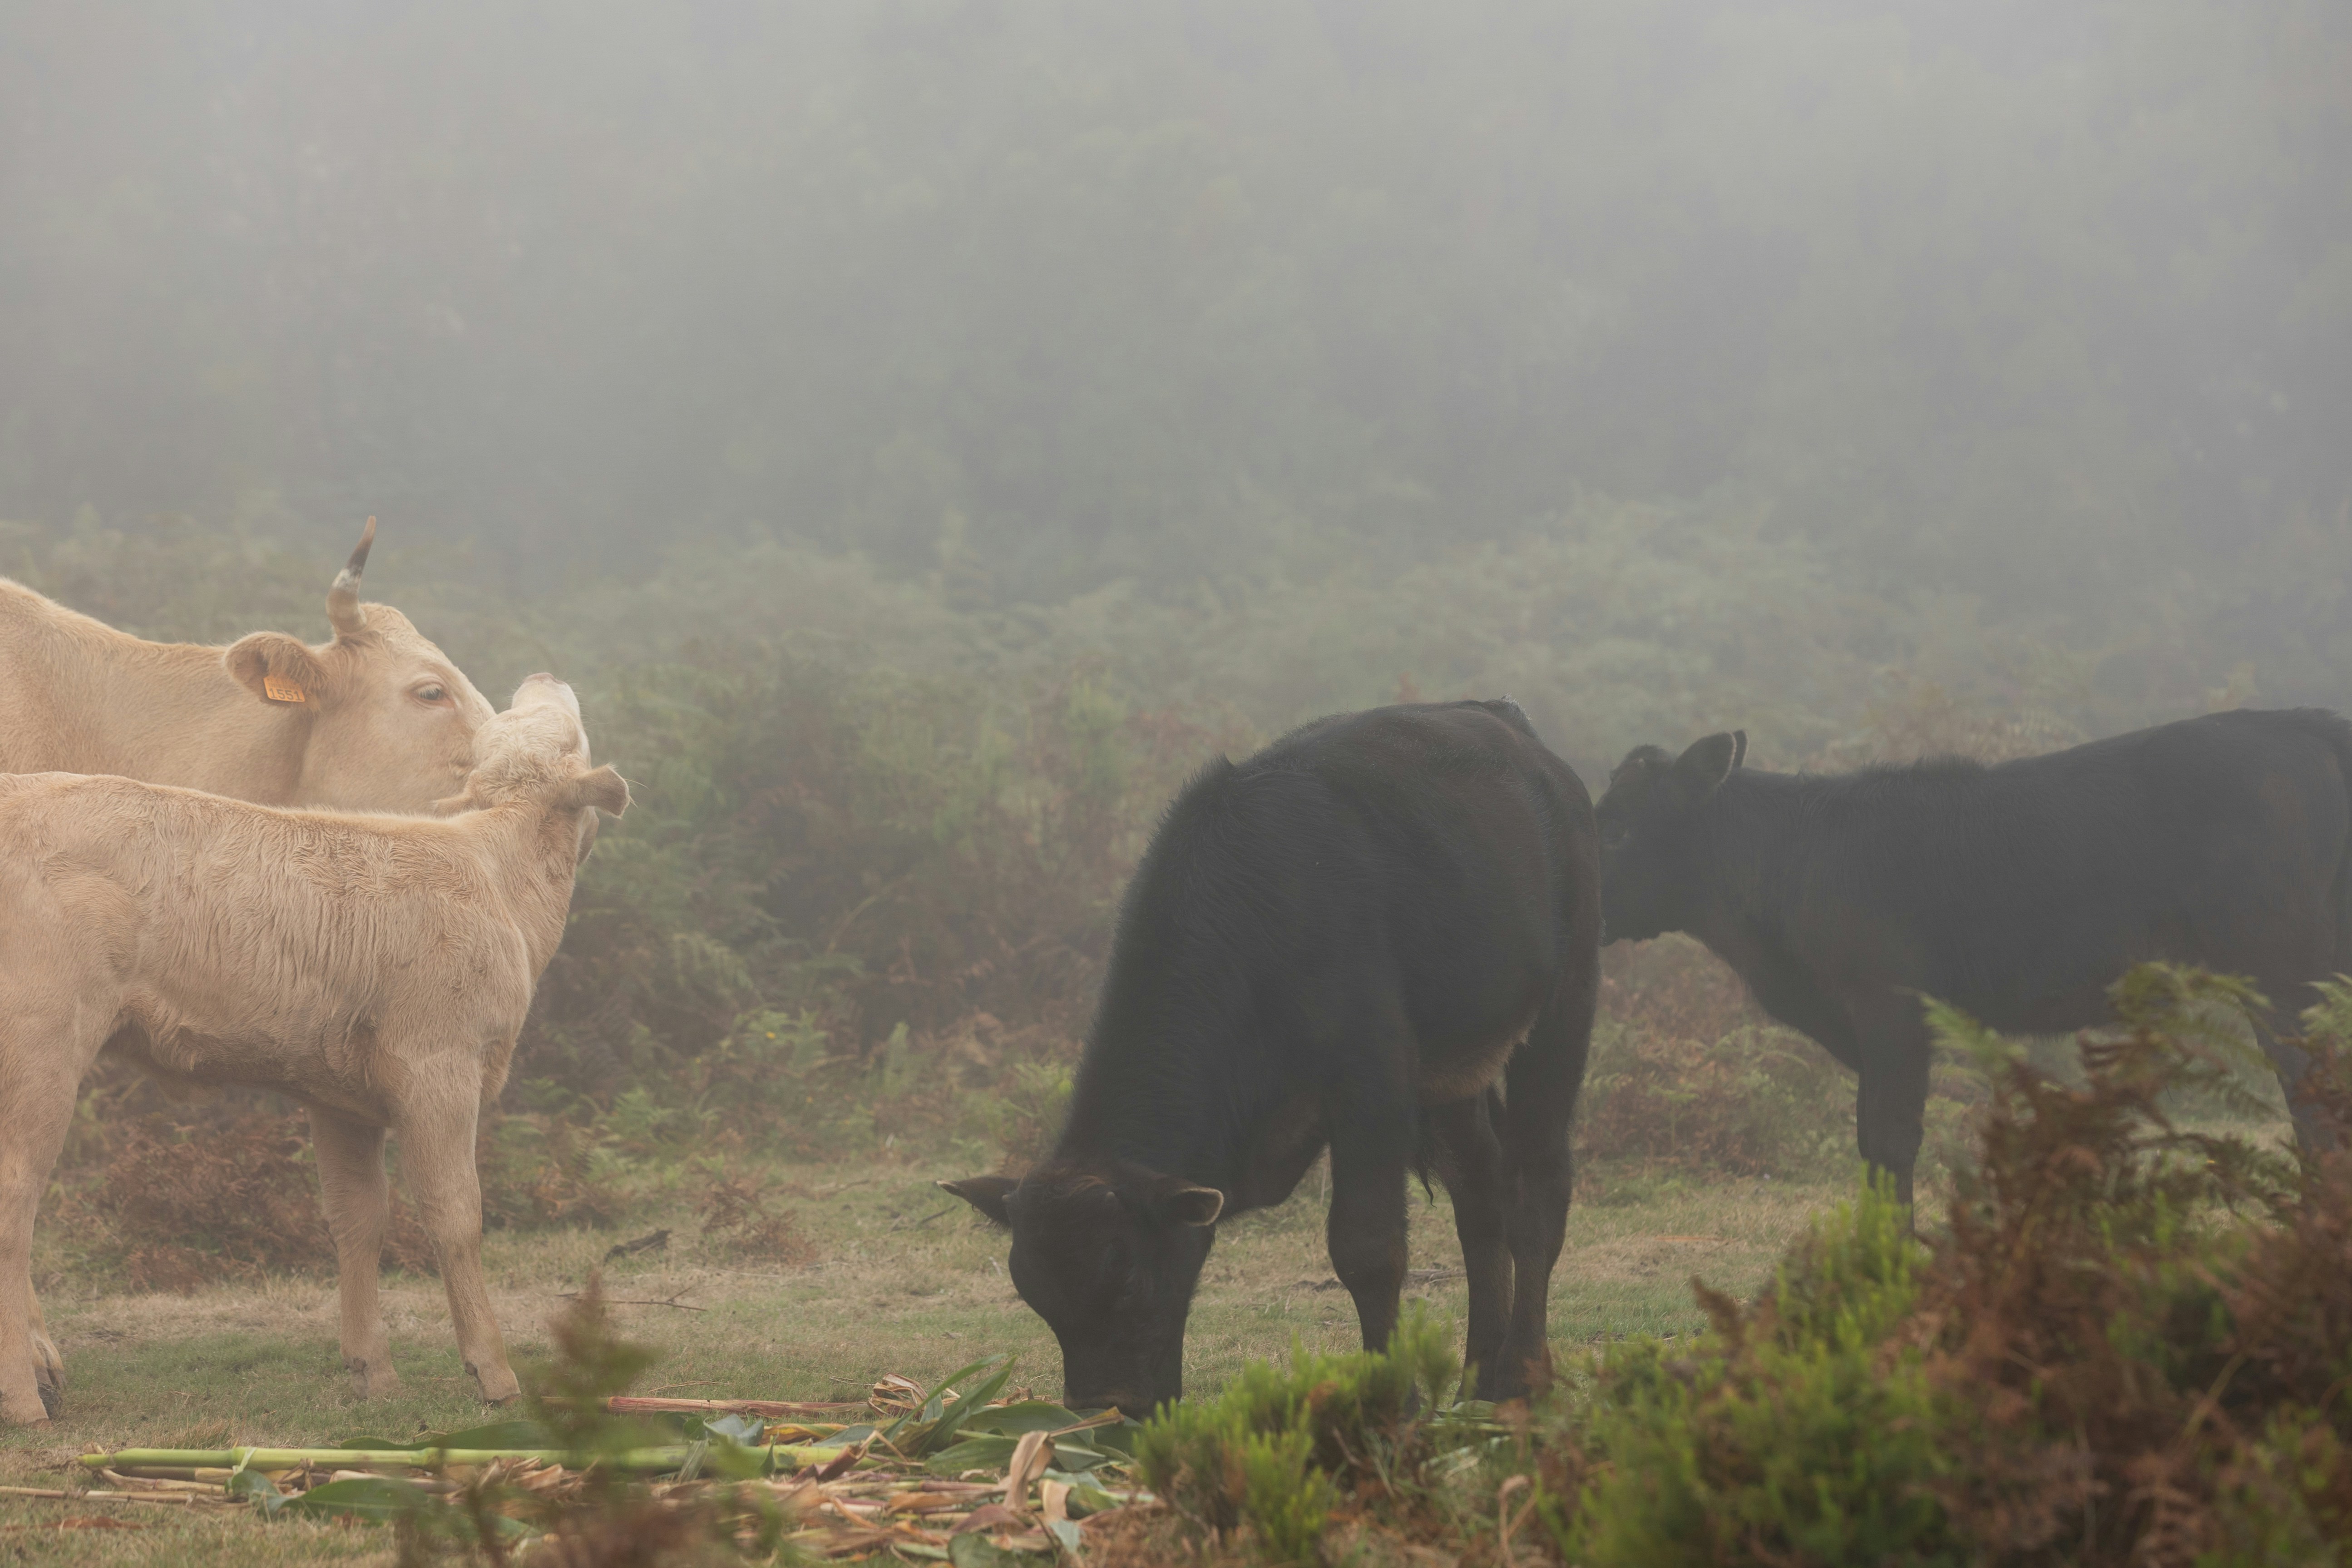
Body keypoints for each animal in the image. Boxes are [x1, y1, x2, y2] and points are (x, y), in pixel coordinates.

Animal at [0, 674, 626, 1425]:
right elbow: (456, 1214)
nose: (544, 677)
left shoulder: (342, 1095)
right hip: (41, 1043)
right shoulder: (440, 1064)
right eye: (572, 730)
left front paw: (374, 1373)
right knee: (14, 1204)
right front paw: (494, 1372)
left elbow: (358, 1217)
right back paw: (24, 1398)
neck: (499, 882)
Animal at [942, 701, 1600, 1414]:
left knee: (1537, 1184)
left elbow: (1367, 1249)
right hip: (1458, 1067)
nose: (1105, 1409)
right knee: (1480, 1193)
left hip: (1564, 1005)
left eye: (1130, 1281)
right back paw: (1479, 1375)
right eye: (1038, 1300)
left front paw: (1391, 1400)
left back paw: (1521, 1373)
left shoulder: (1372, 1084)